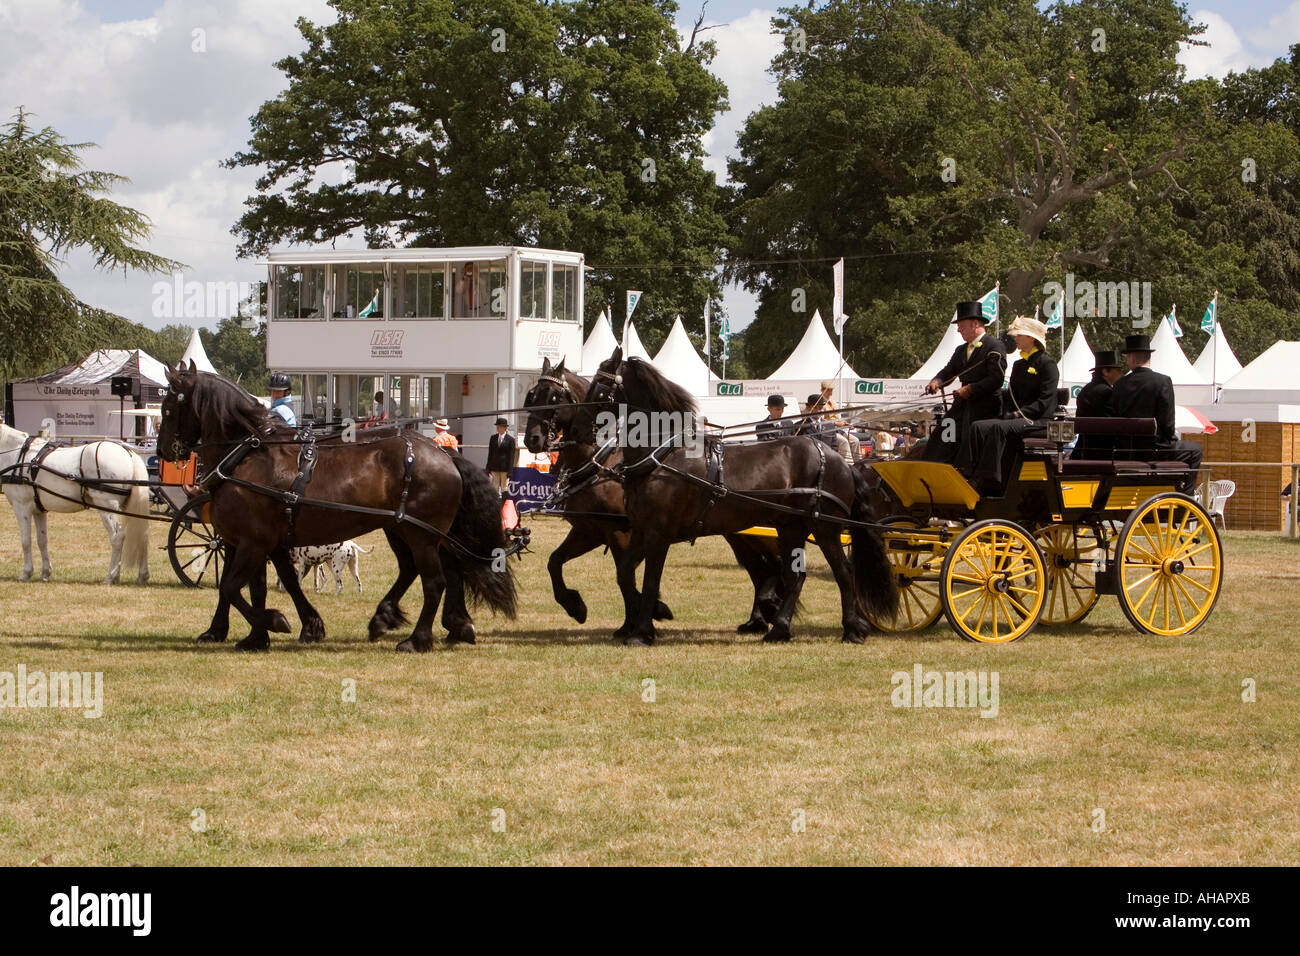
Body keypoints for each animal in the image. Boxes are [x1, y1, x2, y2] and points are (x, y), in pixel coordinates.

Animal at [0, 424, 152, 582]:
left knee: (118, 537)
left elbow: (26, 541)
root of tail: (129, 454)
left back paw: (111, 576)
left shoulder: (21, 507)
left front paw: (26, 573)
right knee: (142, 533)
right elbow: (42, 540)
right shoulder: (39, 510)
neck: (16, 453)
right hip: (129, 505)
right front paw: (45, 572)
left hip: (107, 505)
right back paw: (142, 575)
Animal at [156, 361, 512, 655]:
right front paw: (243, 634)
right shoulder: (243, 541)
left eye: (170, 407)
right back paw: (429, 621)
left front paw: (274, 621)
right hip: (403, 529)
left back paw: (417, 639)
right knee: (435, 570)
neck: (248, 454)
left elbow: (233, 586)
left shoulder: (253, 542)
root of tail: (444, 453)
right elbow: (247, 587)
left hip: (420, 535)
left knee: (435, 580)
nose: (162, 451)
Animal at [522, 358, 785, 634]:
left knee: (774, 565)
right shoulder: (590, 530)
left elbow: (625, 574)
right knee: (760, 570)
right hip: (738, 533)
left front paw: (640, 618)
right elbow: (555, 562)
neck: (600, 462)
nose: (532, 439)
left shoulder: (621, 531)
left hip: (759, 531)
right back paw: (758, 620)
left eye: (553, 397)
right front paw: (576, 606)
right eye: (532, 396)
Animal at [574, 348, 899, 647]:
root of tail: (840, 461)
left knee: (844, 572)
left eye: (600, 384)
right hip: (790, 527)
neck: (663, 455)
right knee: (795, 576)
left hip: (825, 528)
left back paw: (852, 629)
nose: (578, 427)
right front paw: (654, 616)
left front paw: (642, 631)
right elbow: (625, 574)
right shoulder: (642, 529)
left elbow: (650, 580)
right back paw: (780, 630)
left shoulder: (659, 533)